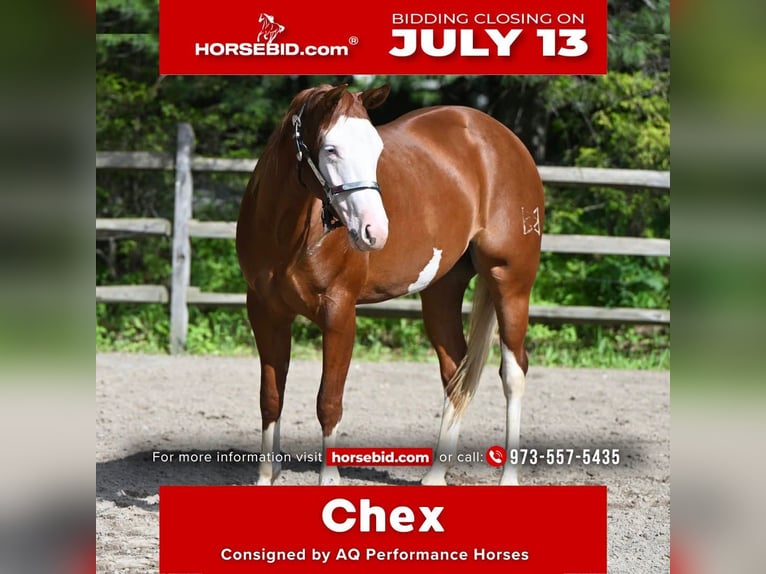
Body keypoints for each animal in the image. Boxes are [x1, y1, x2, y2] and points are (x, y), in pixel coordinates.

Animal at [236, 84, 544, 485]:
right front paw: (265, 478)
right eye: (331, 149)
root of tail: (505, 140)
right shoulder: (265, 313)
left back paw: (508, 478)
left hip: (510, 282)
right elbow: (271, 398)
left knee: (513, 373)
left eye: (377, 149)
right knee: (455, 373)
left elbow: (328, 402)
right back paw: (434, 476)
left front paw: (329, 481)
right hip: (441, 292)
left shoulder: (339, 315)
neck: (287, 233)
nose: (375, 231)